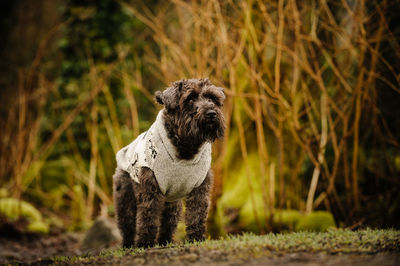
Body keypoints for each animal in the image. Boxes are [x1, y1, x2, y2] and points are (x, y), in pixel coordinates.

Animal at [112, 78, 225, 248]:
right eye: (190, 99)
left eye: (212, 98)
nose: (211, 113)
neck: (186, 149)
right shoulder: (149, 191)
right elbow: (148, 218)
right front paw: (145, 243)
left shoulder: (200, 189)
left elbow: (196, 215)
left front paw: (196, 238)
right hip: (126, 200)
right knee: (128, 225)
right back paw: (128, 245)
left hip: (172, 205)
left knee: (167, 224)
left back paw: (164, 242)